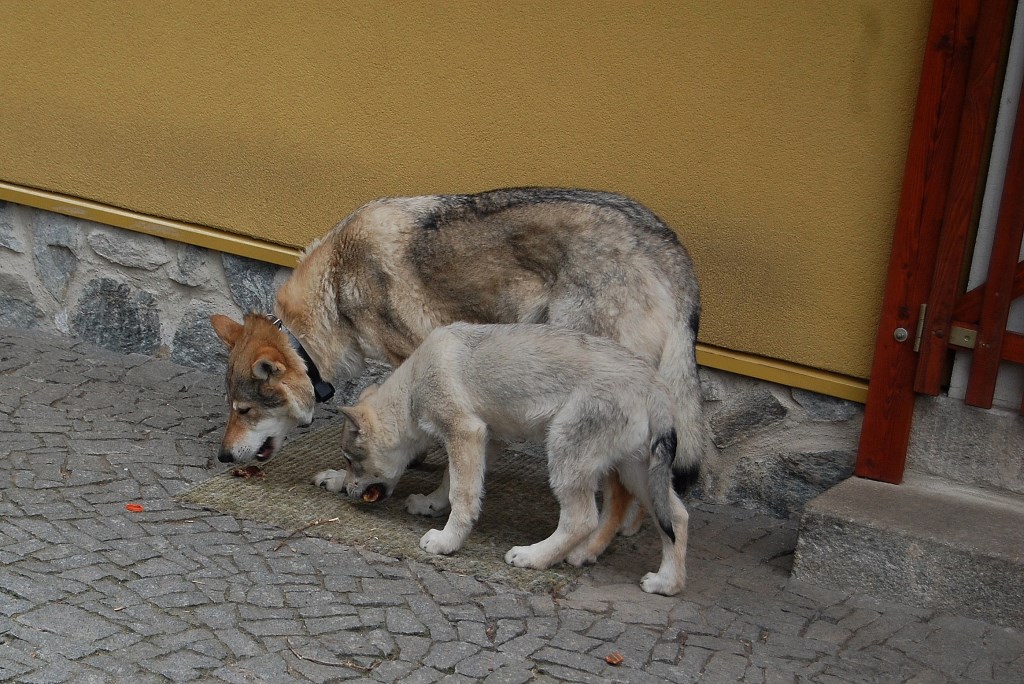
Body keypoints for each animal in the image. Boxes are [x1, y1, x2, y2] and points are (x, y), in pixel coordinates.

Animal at [313, 323, 688, 593]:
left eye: (351, 461)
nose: (349, 491)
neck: (413, 387)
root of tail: (654, 384)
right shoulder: (484, 440)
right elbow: (450, 480)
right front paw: (431, 505)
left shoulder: (465, 432)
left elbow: (461, 494)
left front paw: (447, 541)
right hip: (636, 472)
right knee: (677, 516)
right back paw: (666, 582)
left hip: (565, 454)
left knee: (582, 519)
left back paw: (534, 557)